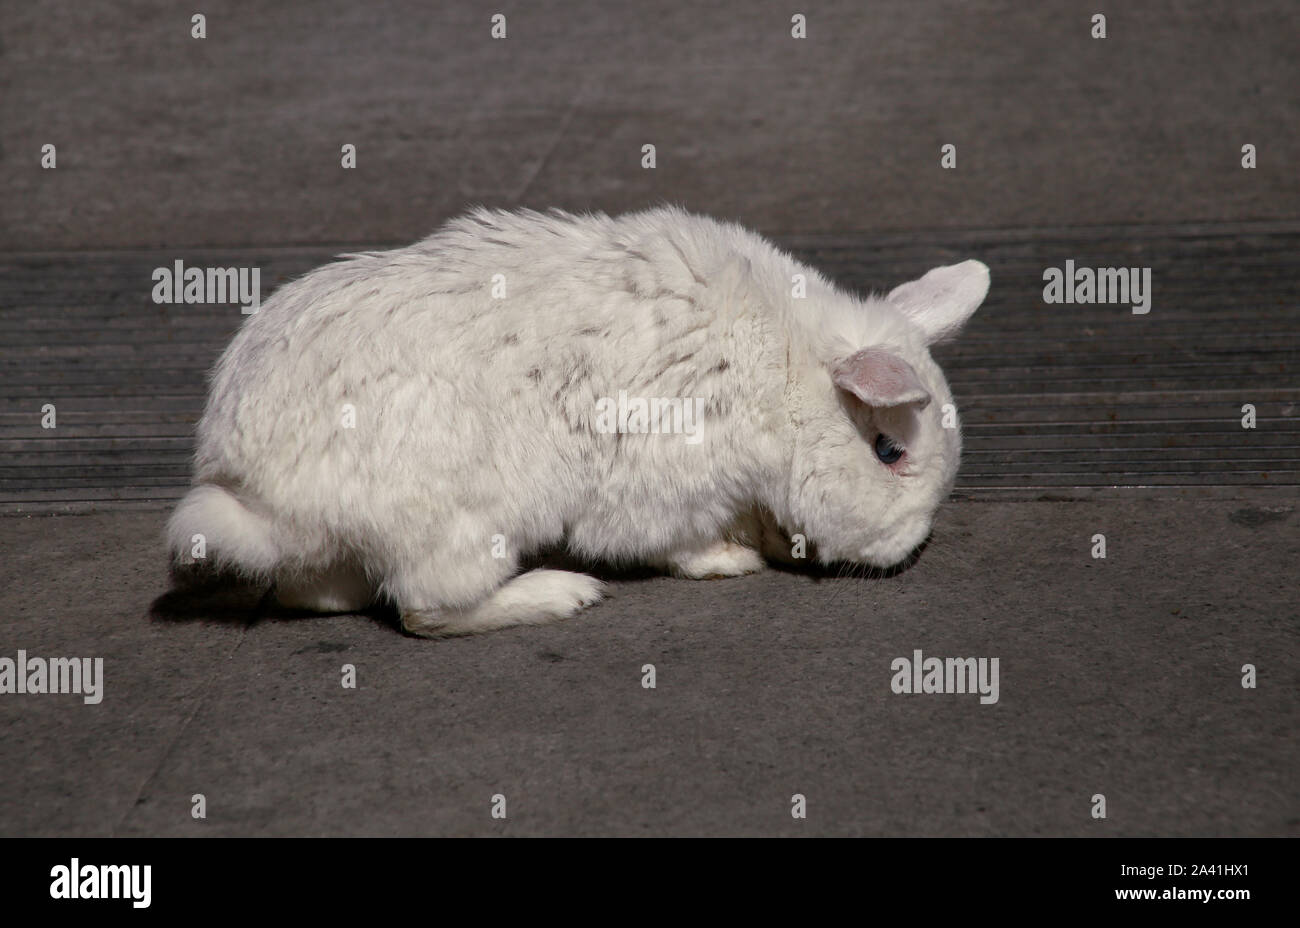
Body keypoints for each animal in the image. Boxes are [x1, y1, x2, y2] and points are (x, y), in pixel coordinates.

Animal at [166, 206, 989, 637]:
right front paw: (730, 561)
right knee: (429, 609)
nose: (906, 551)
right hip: (465, 525)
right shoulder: (668, 484)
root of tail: (253, 495)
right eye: (887, 450)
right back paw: (563, 593)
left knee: (314, 593)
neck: (784, 372)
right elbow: (679, 545)